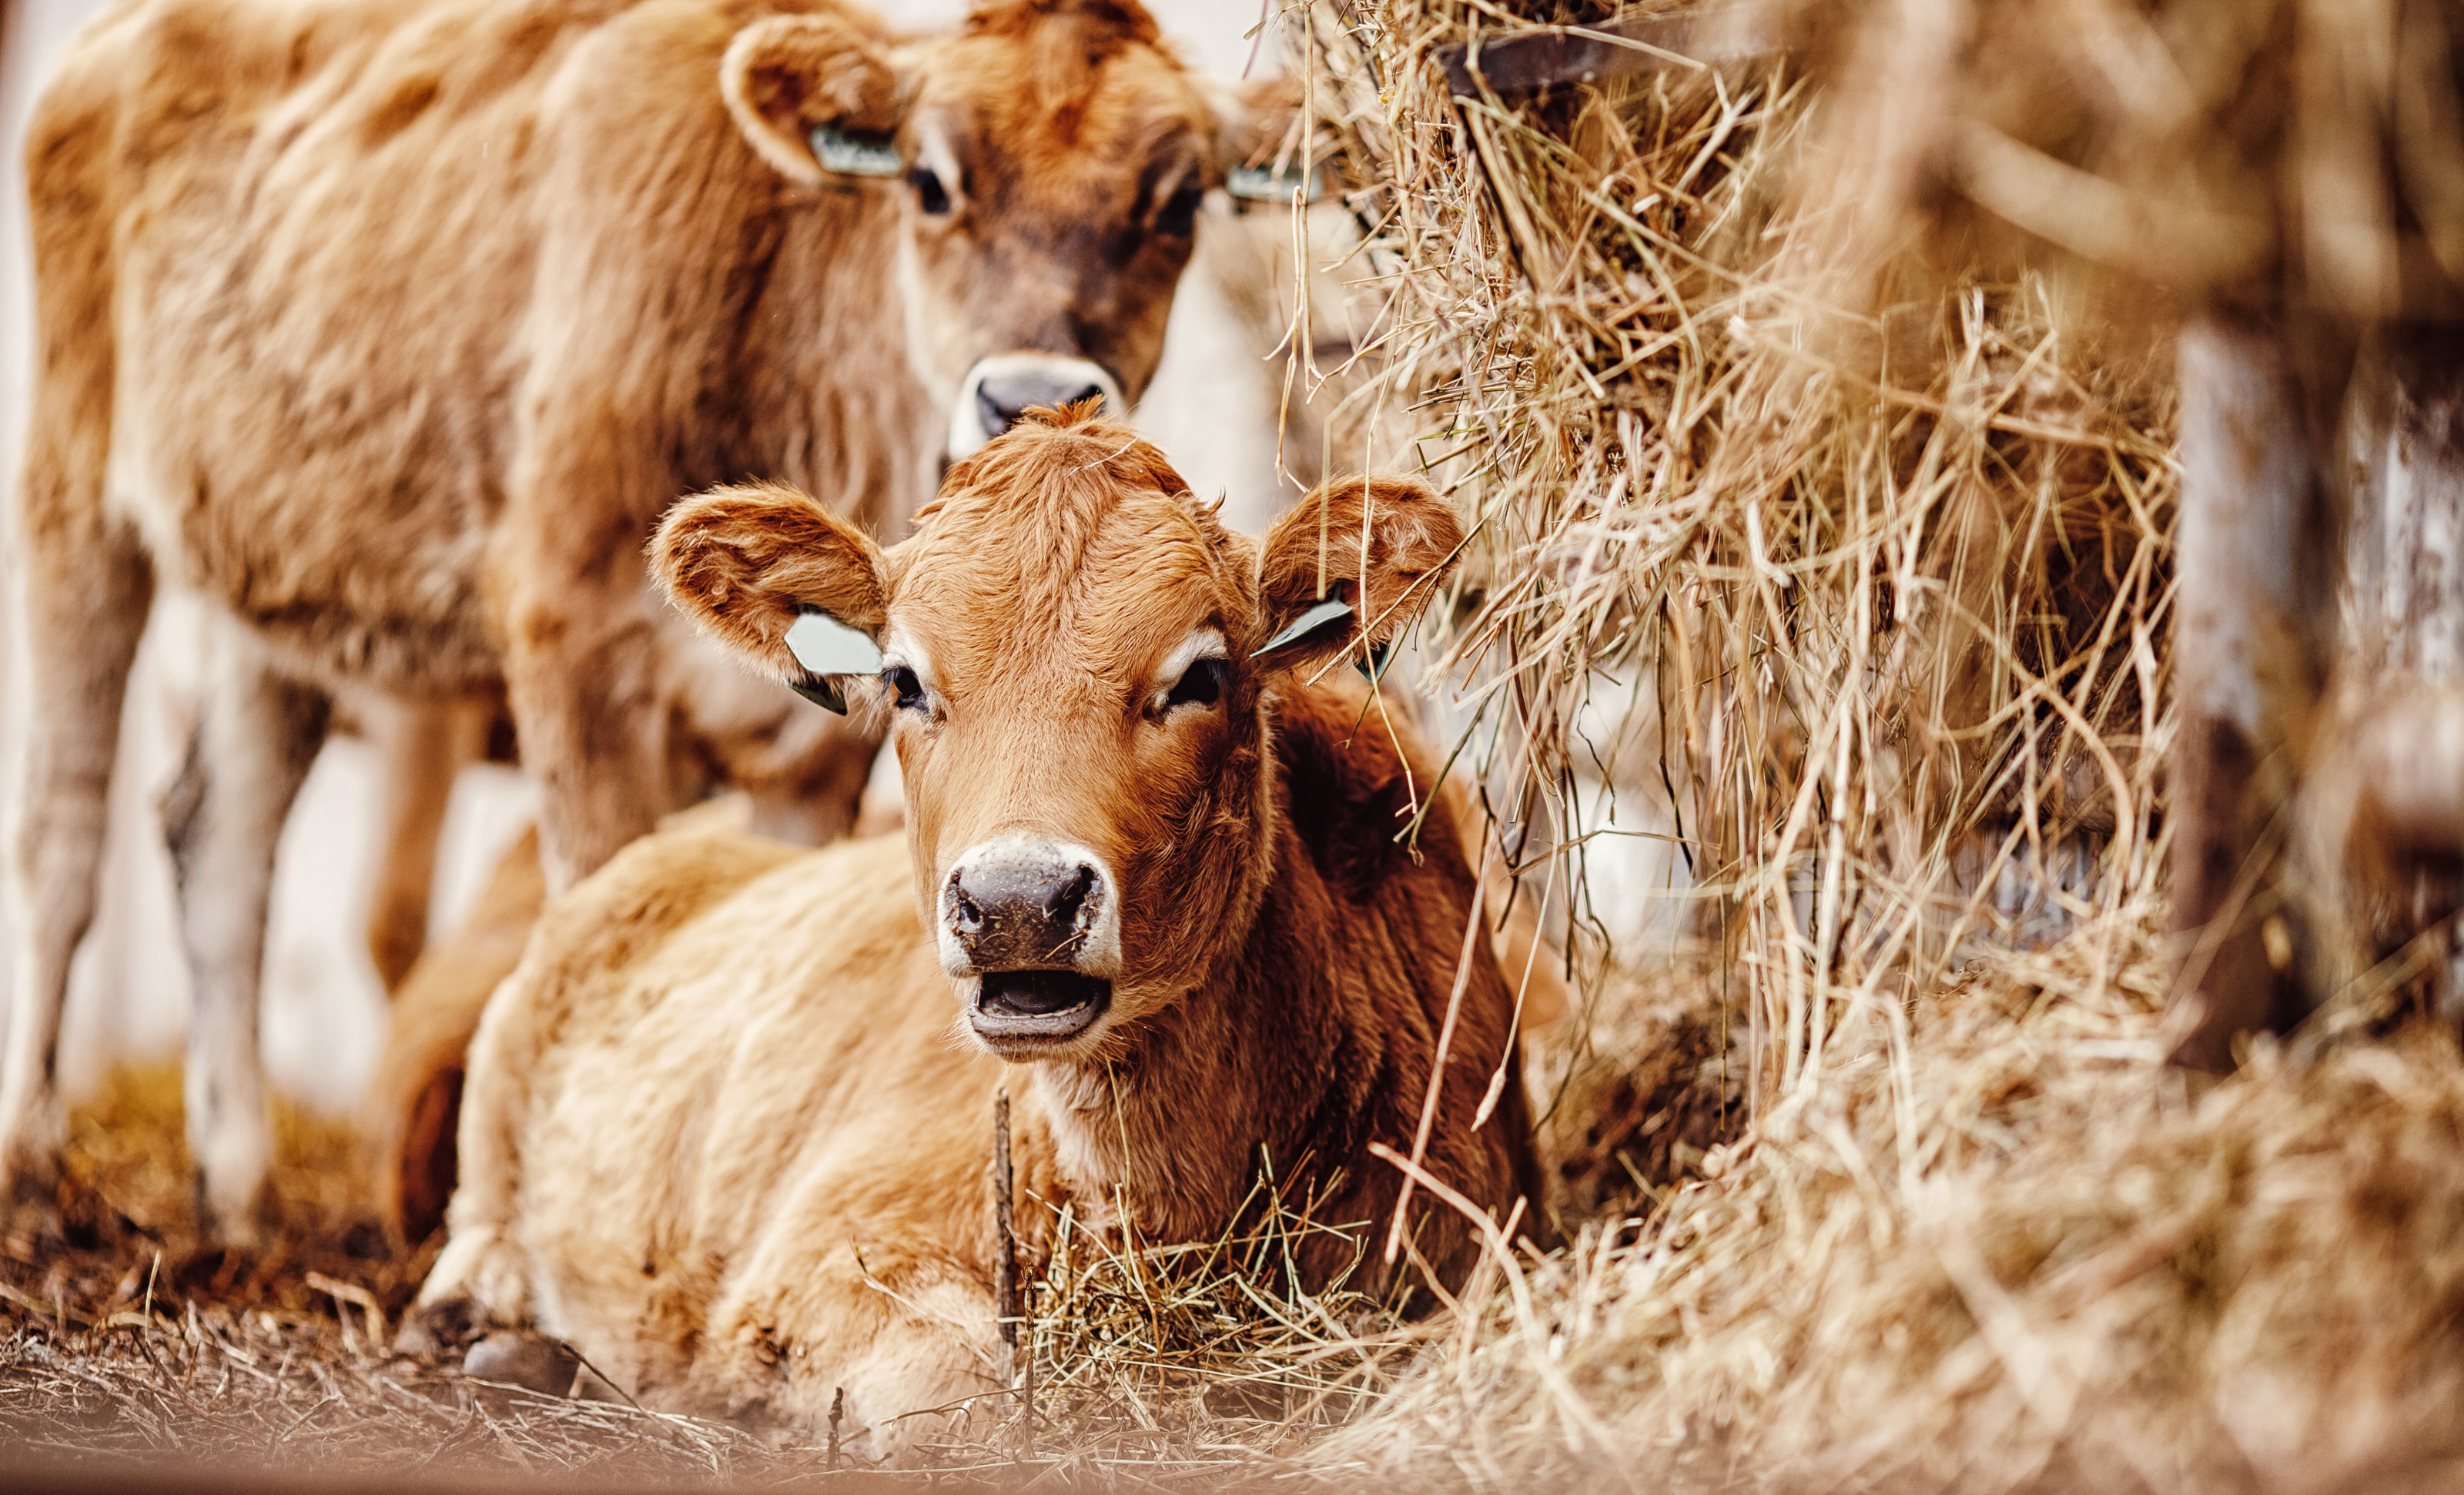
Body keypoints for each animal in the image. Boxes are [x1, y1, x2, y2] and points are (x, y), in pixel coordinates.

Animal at [9, 0, 1291, 1241]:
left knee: (220, 849)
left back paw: (238, 1204)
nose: (1032, 396)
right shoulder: (566, 636)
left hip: (264, 579)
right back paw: (33, 1167)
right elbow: (595, 919)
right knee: (65, 837)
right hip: (73, 493)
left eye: (1176, 201)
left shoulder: (815, 749)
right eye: (930, 180)